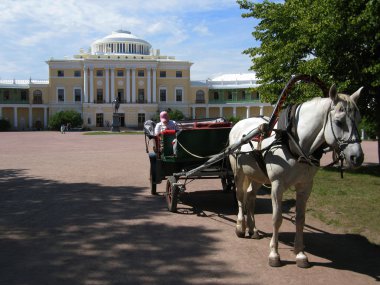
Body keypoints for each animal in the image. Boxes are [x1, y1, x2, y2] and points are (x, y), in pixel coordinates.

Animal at [229, 84, 366, 266]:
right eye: (339, 122)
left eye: (358, 120)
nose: (357, 157)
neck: (293, 141)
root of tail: (238, 123)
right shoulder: (277, 185)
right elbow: (277, 218)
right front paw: (274, 254)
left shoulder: (305, 185)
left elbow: (301, 219)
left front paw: (300, 253)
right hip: (238, 172)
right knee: (240, 196)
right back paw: (240, 226)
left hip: (257, 174)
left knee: (250, 196)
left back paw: (253, 228)